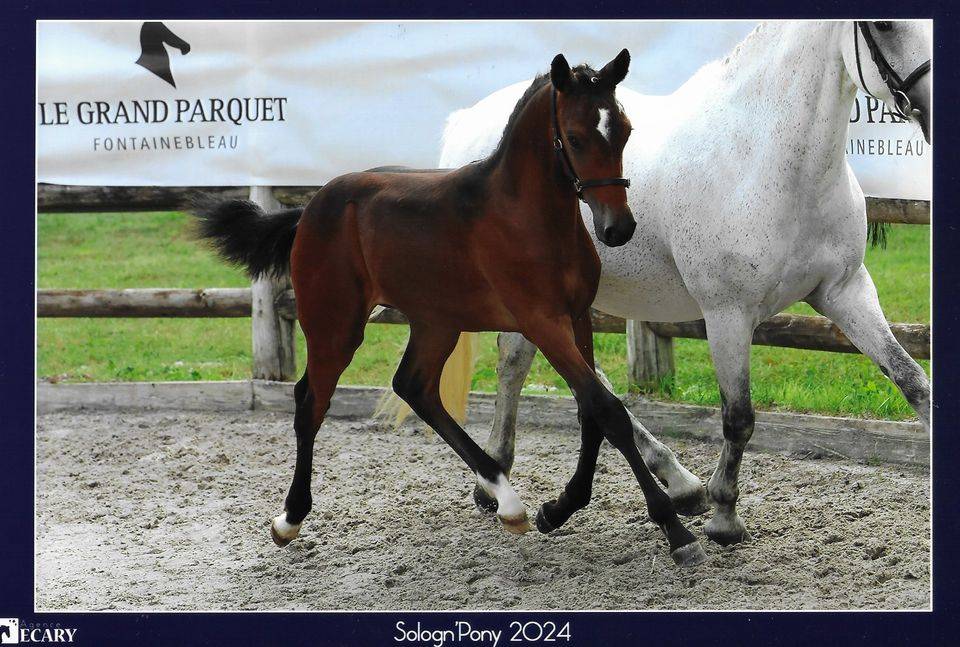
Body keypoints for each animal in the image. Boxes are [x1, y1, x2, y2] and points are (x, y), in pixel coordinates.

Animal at [195, 50, 709, 567]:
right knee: (311, 400)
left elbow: (592, 413)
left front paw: (559, 508)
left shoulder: (577, 316)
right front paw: (675, 529)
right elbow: (607, 410)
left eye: (624, 130)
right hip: (335, 323)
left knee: (414, 387)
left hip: (434, 322)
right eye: (577, 136)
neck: (527, 216)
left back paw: (508, 503)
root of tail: (309, 209)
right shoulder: (543, 322)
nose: (617, 228)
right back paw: (290, 519)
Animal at [424, 20, 932, 547]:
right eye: (883, 25)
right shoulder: (728, 313)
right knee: (530, 367)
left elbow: (914, 383)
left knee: (540, 367)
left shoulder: (845, 292)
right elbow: (738, 417)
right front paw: (724, 517)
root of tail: (466, 125)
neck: (763, 160)